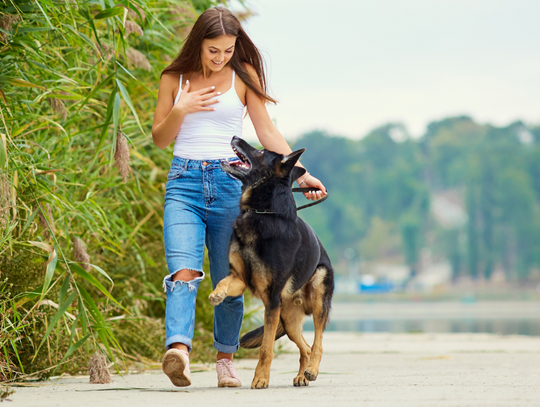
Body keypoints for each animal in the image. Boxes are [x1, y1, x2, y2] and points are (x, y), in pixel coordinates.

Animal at [210, 136, 334, 388]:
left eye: (260, 152)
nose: (235, 137)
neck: (261, 212)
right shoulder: (239, 279)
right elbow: (223, 282)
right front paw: (217, 294)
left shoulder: (271, 300)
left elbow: (266, 347)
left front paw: (260, 378)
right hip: (288, 320)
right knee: (305, 347)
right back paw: (301, 375)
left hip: (316, 297)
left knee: (318, 342)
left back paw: (312, 371)